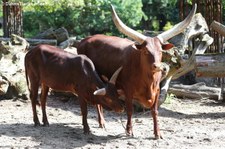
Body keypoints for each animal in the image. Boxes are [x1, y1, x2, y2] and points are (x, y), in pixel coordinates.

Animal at [76, 4, 196, 140]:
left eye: (160, 51)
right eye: (146, 51)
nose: (157, 66)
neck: (148, 81)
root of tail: (84, 40)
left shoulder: (157, 91)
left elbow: (154, 111)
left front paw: (157, 133)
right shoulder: (128, 90)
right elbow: (130, 110)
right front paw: (129, 130)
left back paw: (102, 123)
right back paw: (102, 122)